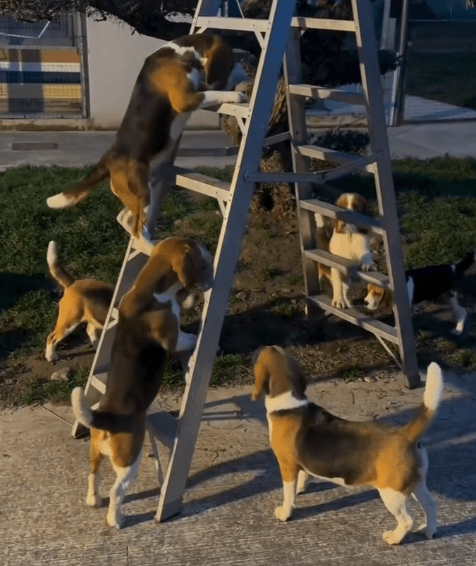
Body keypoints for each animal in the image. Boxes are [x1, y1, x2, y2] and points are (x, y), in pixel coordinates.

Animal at [46, 32, 247, 242]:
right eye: (232, 60)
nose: (245, 66)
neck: (181, 52)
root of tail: (109, 156)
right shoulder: (185, 99)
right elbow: (213, 92)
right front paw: (237, 95)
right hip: (142, 195)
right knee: (135, 228)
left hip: (140, 192)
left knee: (124, 217)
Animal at [70, 237, 212, 532]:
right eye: (193, 243)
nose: (206, 243)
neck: (149, 288)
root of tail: (105, 418)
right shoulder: (173, 338)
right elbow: (185, 338)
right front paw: (195, 335)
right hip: (128, 459)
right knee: (116, 491)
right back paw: (117, 519)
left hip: (95, 453)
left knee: (92, 476)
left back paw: (93, 500)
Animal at [253, 346, 442, 544]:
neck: (289, 403)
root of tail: (406, 433)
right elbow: (303, 476)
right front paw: (301, 488)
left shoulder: (287, 465)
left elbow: (288, 493)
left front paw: (284, 513)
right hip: (417, 484)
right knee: (430, 505)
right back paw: (429, 530)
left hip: (391, 493)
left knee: (407, 520)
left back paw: (394, 538)